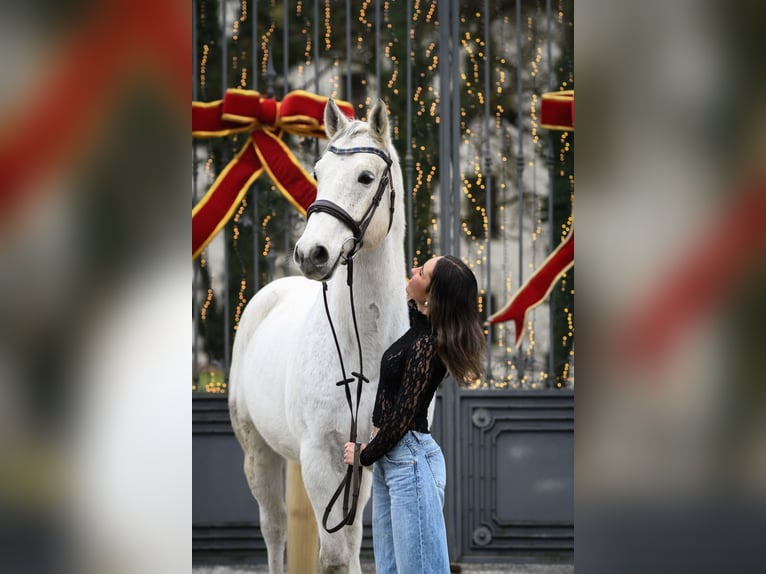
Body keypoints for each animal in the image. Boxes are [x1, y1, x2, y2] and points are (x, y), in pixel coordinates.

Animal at [228, 100, 408, 574]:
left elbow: (353, 543)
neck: (363, 349)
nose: (312, 254)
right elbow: (334, 557)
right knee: (274, 530)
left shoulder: (364, 454)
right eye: (318, 171)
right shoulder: (318, 456)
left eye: (366, 176)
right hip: (258, 453)